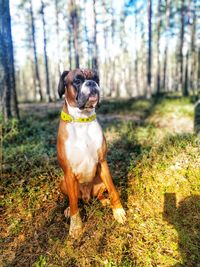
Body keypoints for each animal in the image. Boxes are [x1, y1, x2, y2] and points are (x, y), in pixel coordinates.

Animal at [56, 68, 126, 239]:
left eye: (96, 79)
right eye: (77, 80)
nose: (91, 83)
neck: (83, 121)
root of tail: (87, 196)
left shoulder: (102, 163)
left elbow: (113, 190)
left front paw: (118, 211)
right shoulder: (68, 172)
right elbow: (74, 203)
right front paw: (76, 226)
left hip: (100, 181)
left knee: (100, 194)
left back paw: (104, 201)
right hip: (64, 183)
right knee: (74, 200)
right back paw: (68, 209)